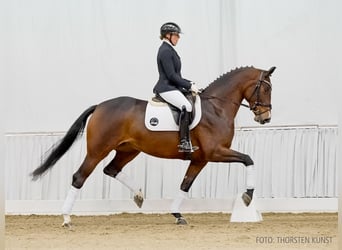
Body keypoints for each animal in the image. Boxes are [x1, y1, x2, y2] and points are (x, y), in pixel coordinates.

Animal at [30, 65, 276, 226]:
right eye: (266, 89)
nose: (265, 118)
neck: (216, 108)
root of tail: (100, 106)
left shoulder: (200, 159)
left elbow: (185, 185)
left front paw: (177, 215)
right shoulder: (215, 152)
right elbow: (248, 159)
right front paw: (248, 196)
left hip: (128, 150)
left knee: (111, 169)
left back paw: (139, 195)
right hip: (97, 150)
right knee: (79, 177)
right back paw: (66, 218)